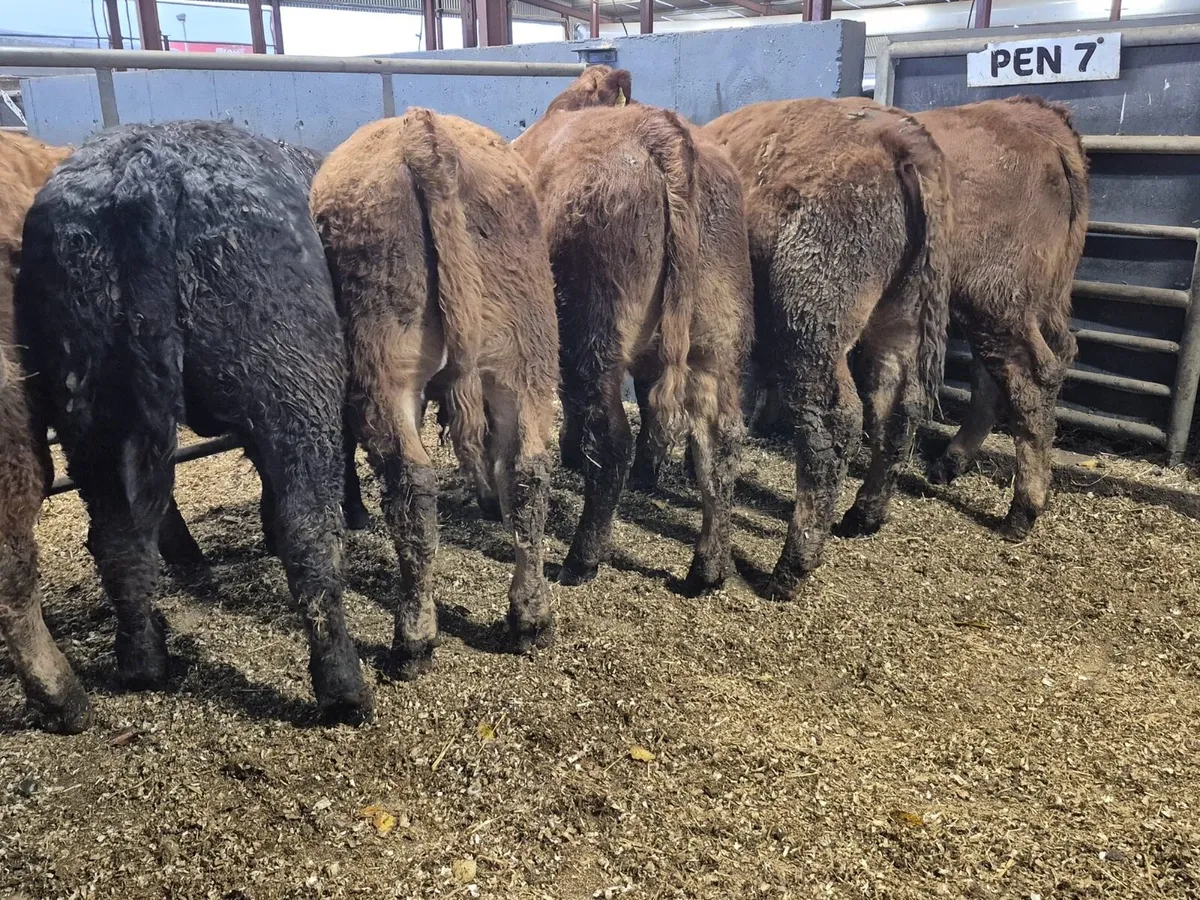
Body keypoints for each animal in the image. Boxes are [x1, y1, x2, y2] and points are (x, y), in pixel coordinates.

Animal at [16, 120, 373, 725]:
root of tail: (143, 174)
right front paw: (354, 510)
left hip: (89, 408)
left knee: (117, 535)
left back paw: (143, 661)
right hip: (293, 381)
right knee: (308, 531)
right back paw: (344, 689)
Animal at [311, 108, 559, 680]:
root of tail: (423, 134)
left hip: (384, 373)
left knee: (412, 490)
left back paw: (413, 639)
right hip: (524, 359)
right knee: (529, 472)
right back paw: (530, 617)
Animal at [514, 66, 753, 592]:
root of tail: (662, 133)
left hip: (592, 336)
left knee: (611, 441)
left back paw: (582, 559)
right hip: (716, 342)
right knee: (719, 440)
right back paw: (707, 566)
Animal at [703, 99, 951, 601]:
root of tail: (898, 138)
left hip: (811, 331)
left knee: (834, 425)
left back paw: (790, 569)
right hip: (900, 319)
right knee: (899, 406)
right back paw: (863, 516)